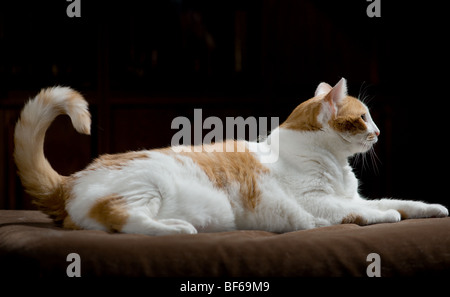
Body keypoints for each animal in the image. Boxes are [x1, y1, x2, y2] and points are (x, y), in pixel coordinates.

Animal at [13, 77, 446, 235]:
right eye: (364, 117)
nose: (379, 132)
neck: (335, 165)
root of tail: (70, 180)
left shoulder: (352, 196)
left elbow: (400, 201)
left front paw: (433, 209)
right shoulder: (321, 203)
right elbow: (369, 212)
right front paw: (385, 219)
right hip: (143, 188)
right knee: (121, 221)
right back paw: (177, 230)